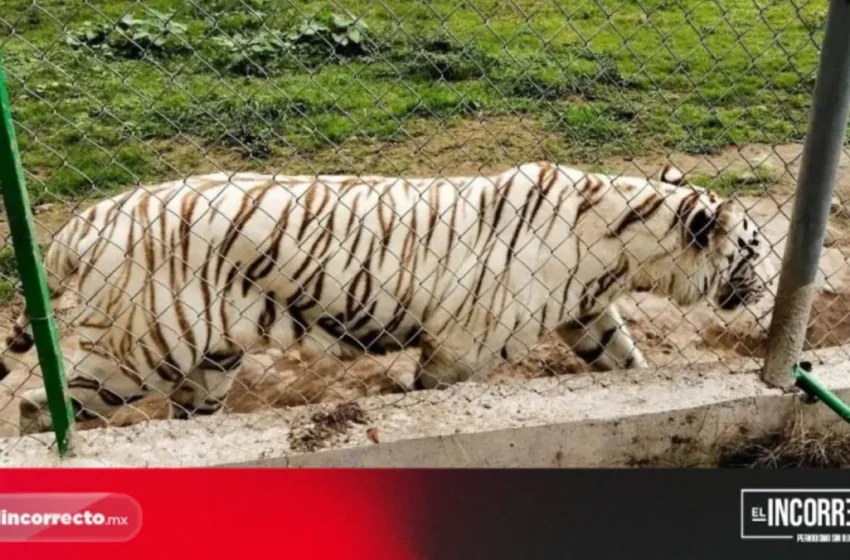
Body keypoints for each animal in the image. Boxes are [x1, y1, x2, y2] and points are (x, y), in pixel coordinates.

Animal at [0, 161, 772, 433]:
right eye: (756, 249)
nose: (767, 288)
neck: (623, 247)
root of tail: (89, 219)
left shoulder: (588, 313)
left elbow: (627, 360)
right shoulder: (462, 348)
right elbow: (429, 392)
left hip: (208, 358)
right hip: (140, 349)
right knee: (43, 405)